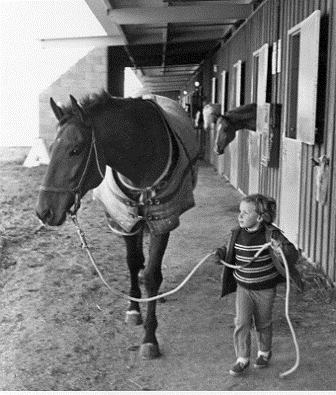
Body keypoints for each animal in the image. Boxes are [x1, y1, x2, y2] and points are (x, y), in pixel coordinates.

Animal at [36, 91, 200, 360]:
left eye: (75, 150)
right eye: (51, 148)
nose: (43, 211)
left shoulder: (162, 219)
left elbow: (153, 275)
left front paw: (149, 338)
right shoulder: (125, 219)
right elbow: (133, 263)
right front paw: (134, 308)